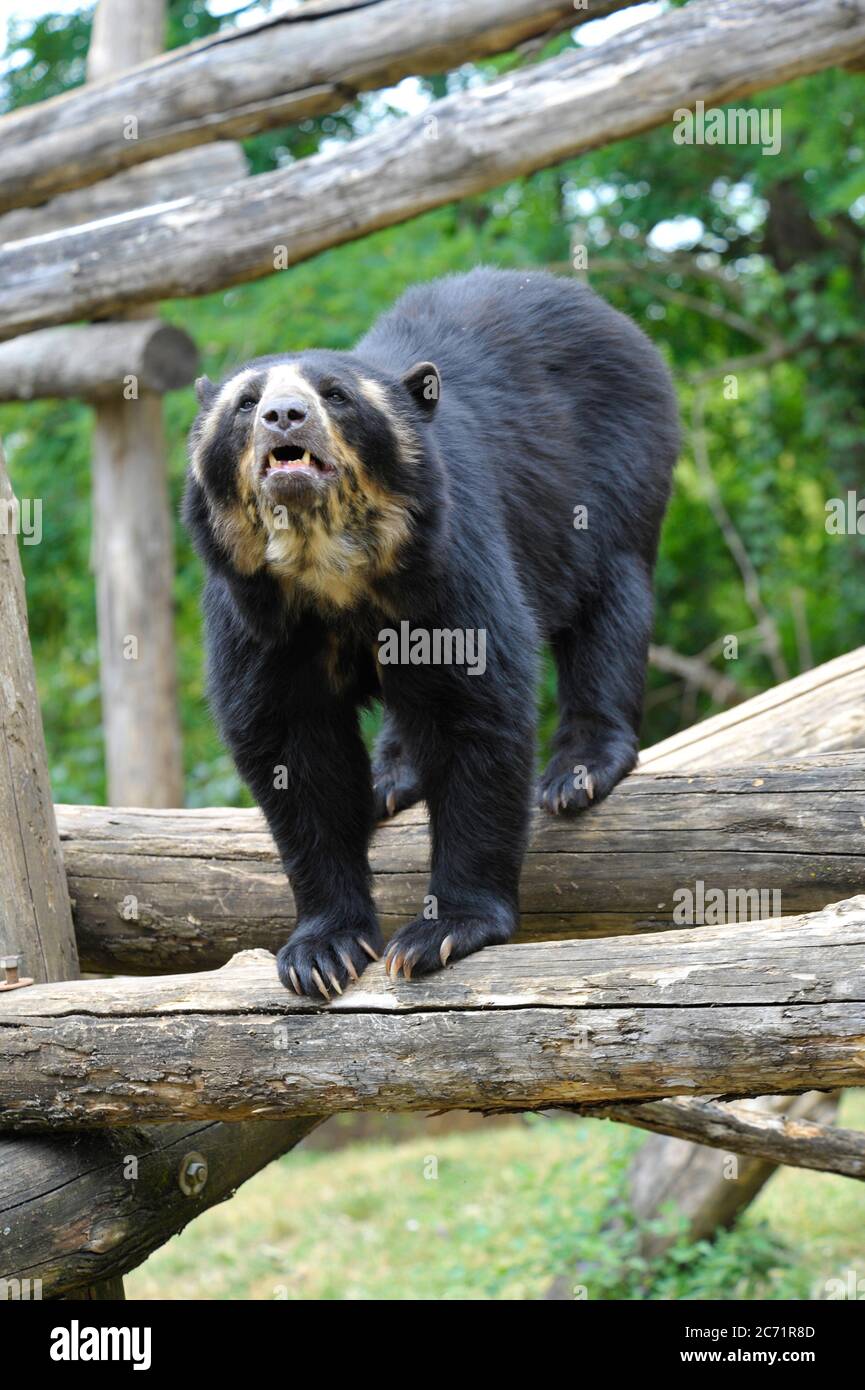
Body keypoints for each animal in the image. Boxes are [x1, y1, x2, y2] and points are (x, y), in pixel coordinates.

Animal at [186, 265, 681, 995]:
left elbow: (477, 712)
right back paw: (392, 778)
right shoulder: (256, 617)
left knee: (609, 603)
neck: (329, 570)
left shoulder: (451, 563)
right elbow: (290, 751)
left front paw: (440, 933)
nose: (284, 416)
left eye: (335, 395)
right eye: (245, 403)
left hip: (616, 465)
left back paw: (579, 771)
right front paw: (322, 953)